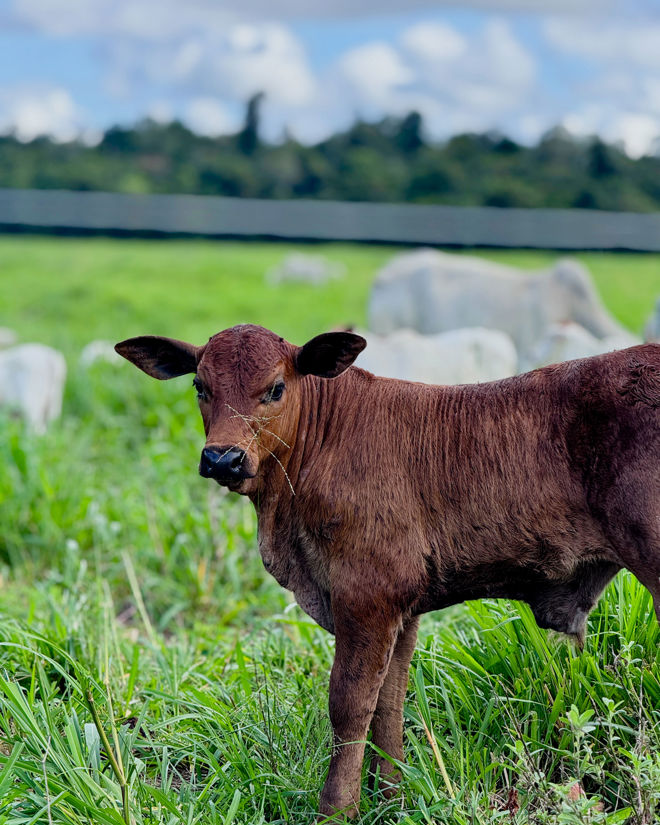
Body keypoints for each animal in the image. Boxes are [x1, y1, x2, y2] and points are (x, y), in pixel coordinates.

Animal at [115, 324, 660, 820]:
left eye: (276, 388)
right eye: (199, 386)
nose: (222, 458)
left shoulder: (367, 596)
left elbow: (351, 703)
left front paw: (337, 809)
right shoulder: (402, 608)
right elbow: (390, 700)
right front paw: (391, 796)